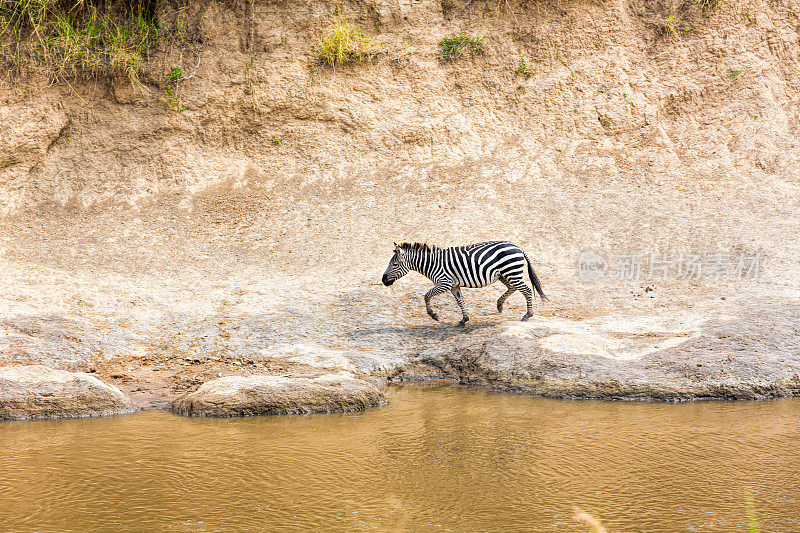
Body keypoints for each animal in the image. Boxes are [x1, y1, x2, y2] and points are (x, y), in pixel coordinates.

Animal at [380, 240, 544, 324]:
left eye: (394, 265)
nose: (383, 280)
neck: (432, 264)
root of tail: (518, 247)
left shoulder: (444, 282)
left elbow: (426, 295)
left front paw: (433, 314)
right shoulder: (454, 286)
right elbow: (460, 302)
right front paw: (464, 319)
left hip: (511, 272)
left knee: (526, 290)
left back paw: (527, 315)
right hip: (504, 275)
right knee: (513, 288)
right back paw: (499, 304)